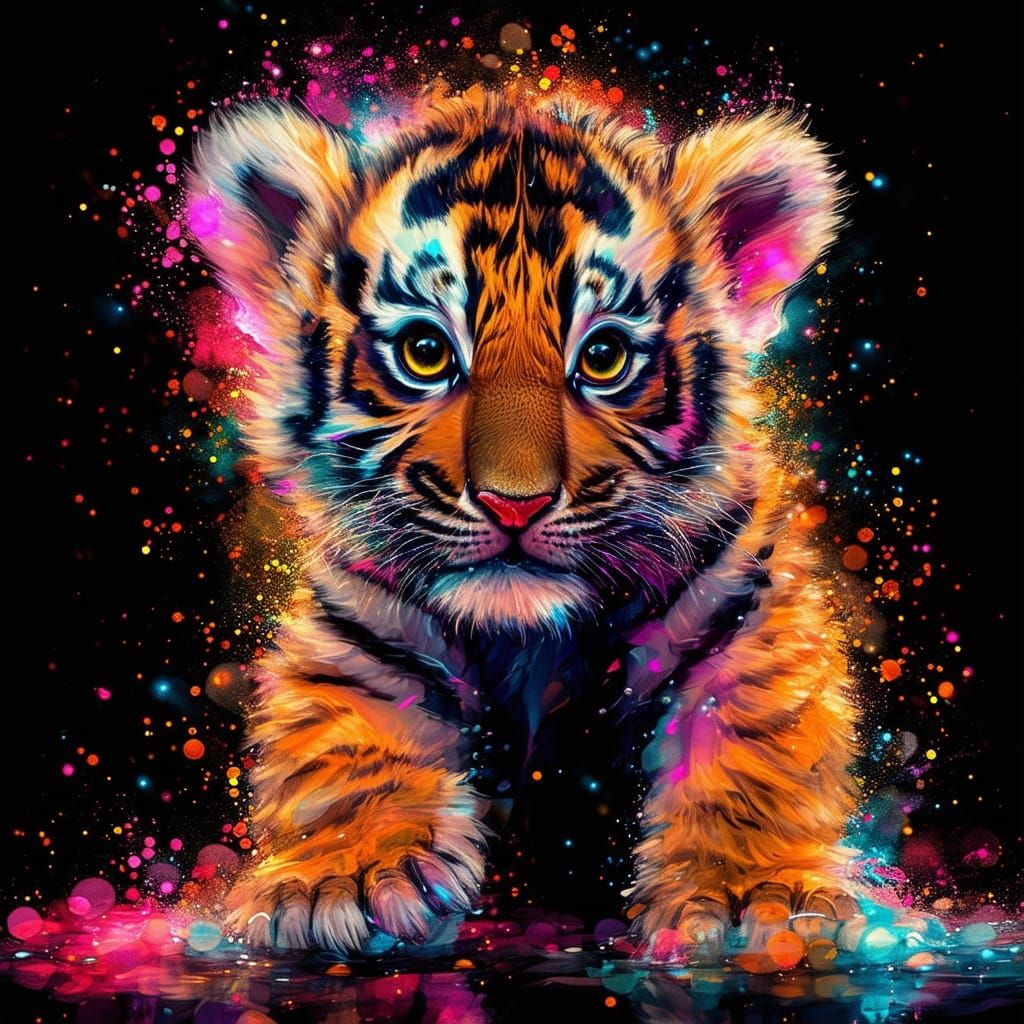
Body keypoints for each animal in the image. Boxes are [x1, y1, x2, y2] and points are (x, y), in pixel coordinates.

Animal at [187, 84, 864, 958]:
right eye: (425, 352)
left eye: (604, 357)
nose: (516, 502)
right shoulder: (363, 623)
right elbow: (342, 735)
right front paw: (345, 878)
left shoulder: (741, 607)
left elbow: (753, 737)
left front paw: (756, 893)